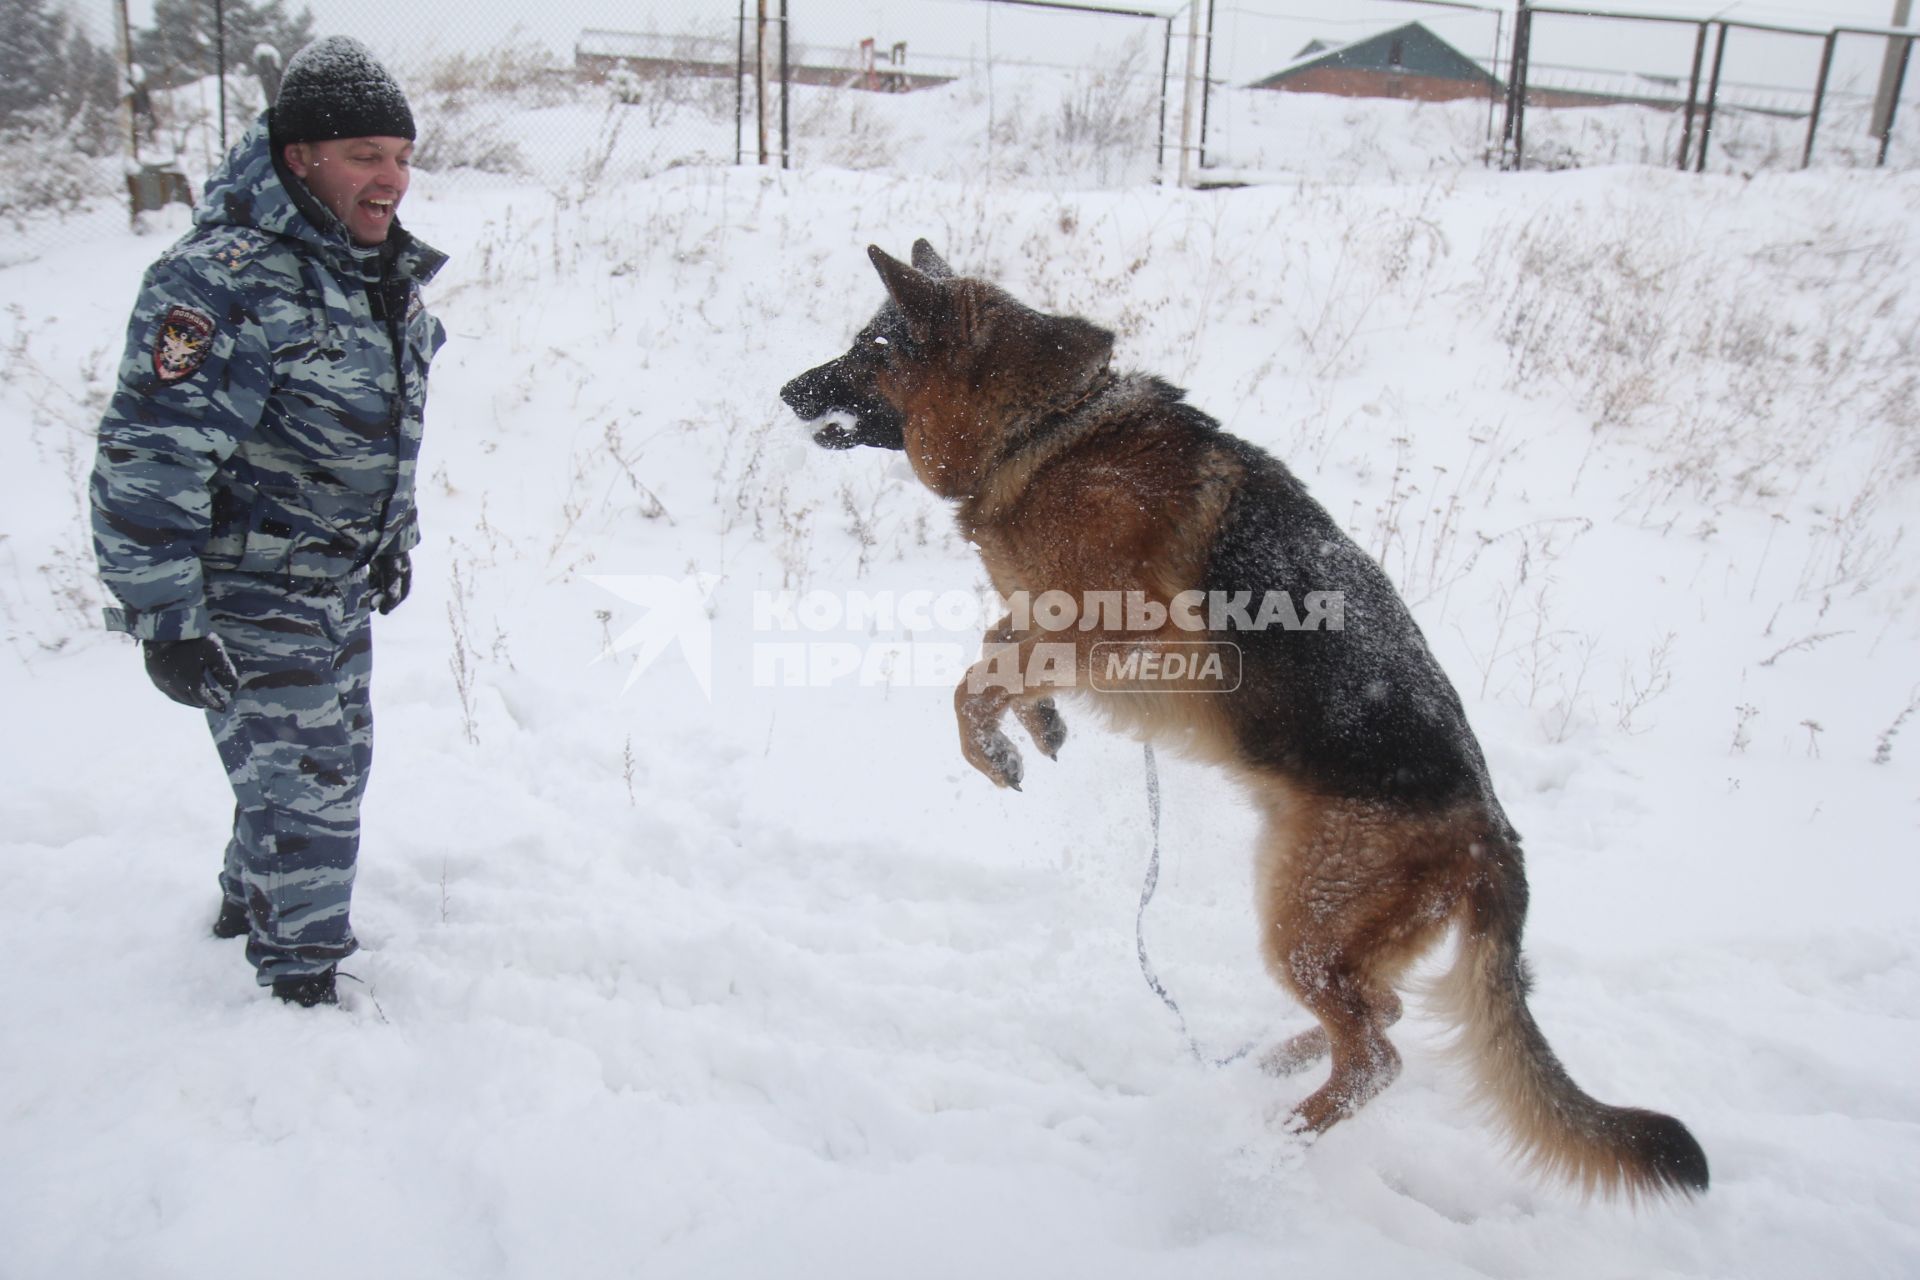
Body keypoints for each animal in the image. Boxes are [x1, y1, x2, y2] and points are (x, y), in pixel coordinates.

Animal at [779, 239, 1712, 1205]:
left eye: (870, 349)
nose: (785, 392)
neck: (1047, 429)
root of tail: (1494, 834)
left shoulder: (1111, 637)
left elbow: (972, 683)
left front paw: (995, 748)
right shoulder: (1048, 621)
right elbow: (997, 650)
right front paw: (1038, 726)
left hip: (1301, 921)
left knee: (1376, 1055)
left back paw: (1273, 1143)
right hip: (1314, 916)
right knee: (1383, 1017)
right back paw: (1270, 1065)